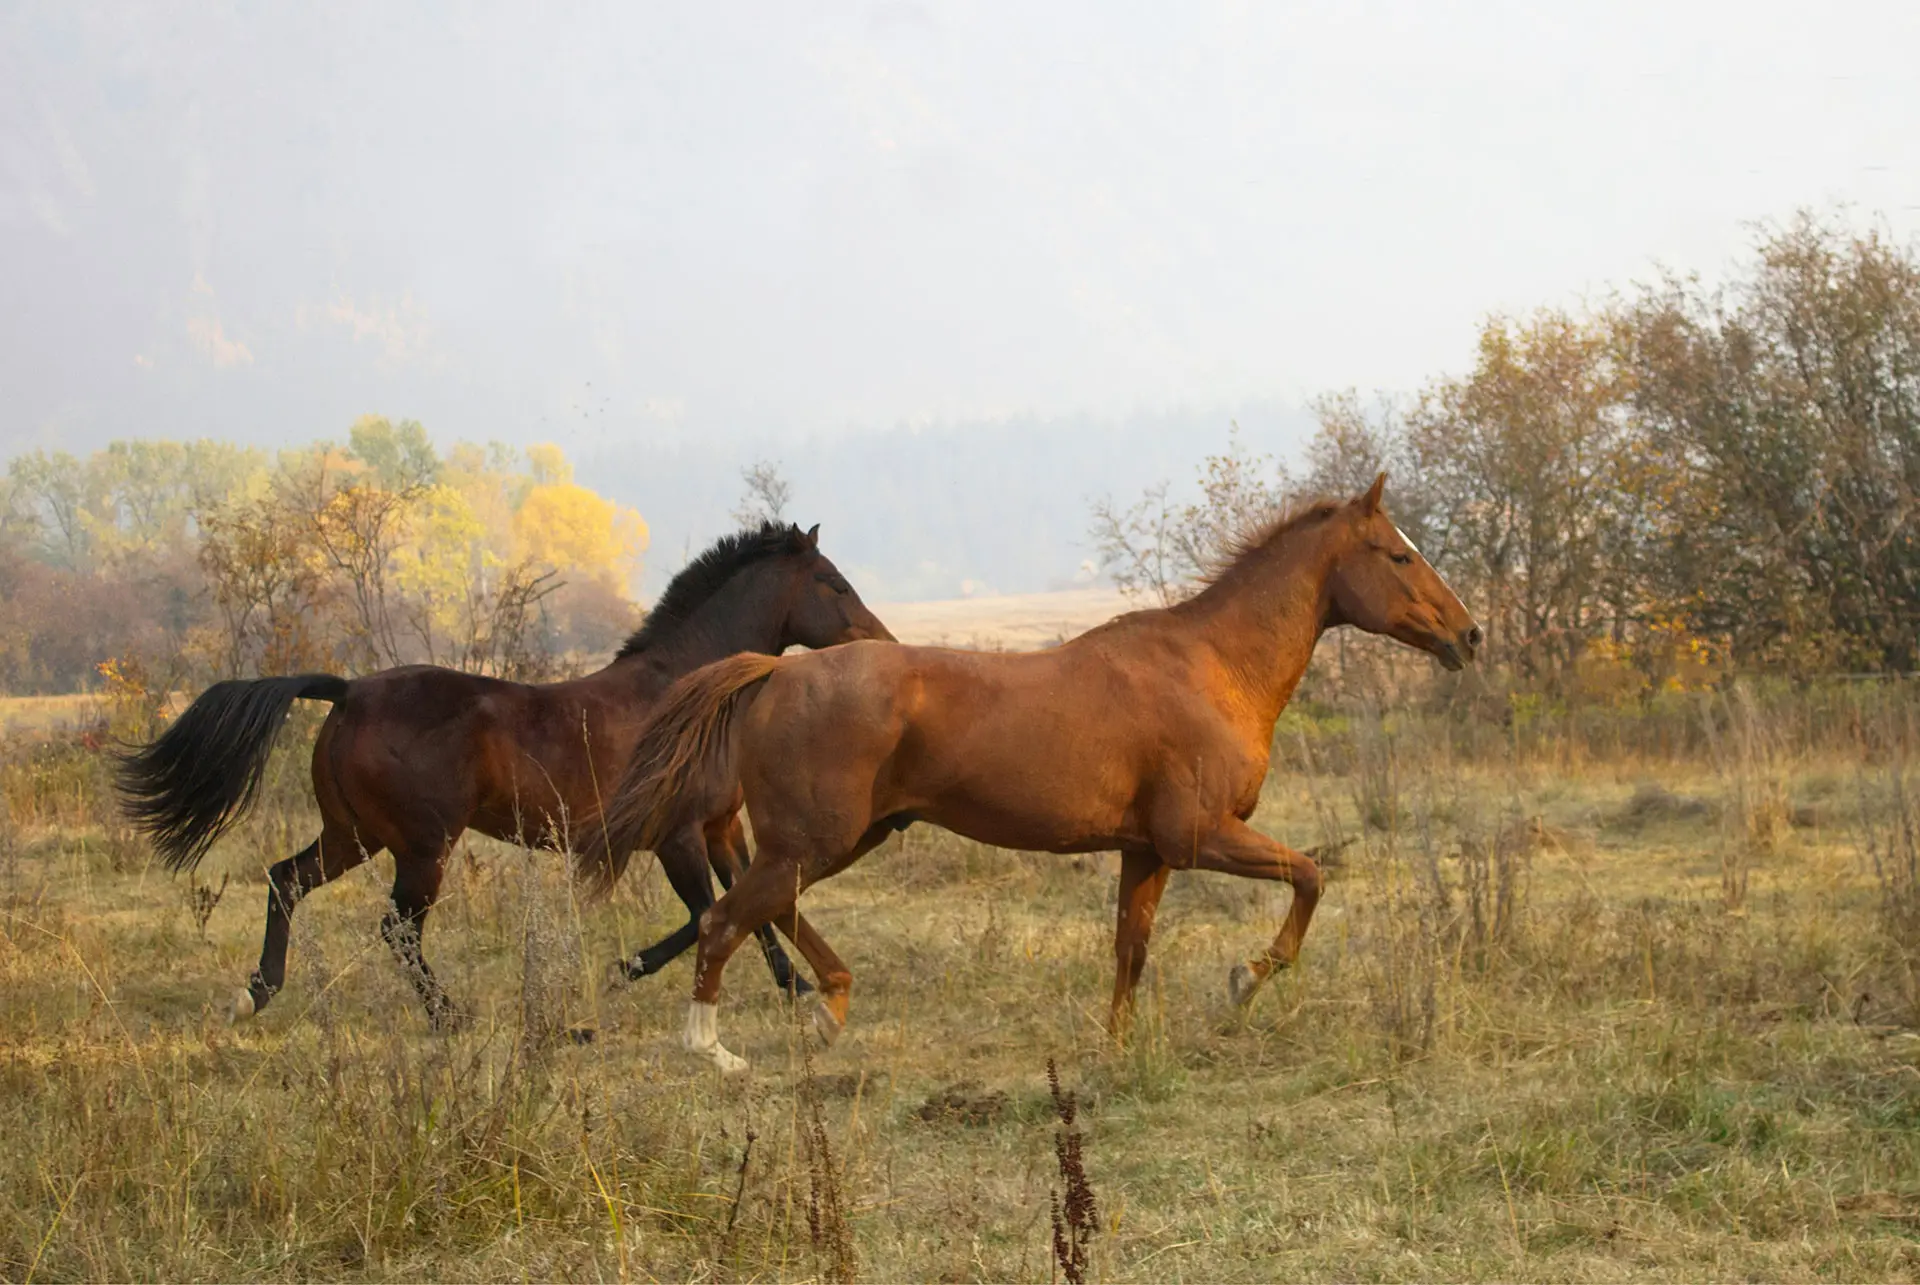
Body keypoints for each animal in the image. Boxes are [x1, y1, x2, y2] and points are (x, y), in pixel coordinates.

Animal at [115, 521, 893, 1026]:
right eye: (834, 583)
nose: (884, 644)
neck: (691, 689)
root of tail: (349, 691)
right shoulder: (674, 838)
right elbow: (707, 915)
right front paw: (619, 972)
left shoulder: (721, 829)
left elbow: (755, 910)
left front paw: (795, 989)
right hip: (422, 847)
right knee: (396, 928)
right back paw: (448, 1015)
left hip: (353, 835)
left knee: (286, 880)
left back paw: (257, 991)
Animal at [585, 475, 1479, 1072]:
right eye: (1399, 556)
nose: (1468, 636)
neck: (1212, 666)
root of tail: (775, 670)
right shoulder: (1199, 837)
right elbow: (1312, 877)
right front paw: (1242, 979)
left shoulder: (1145, 851)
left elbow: (1130, 949)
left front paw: (1116, 1048)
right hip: (810, 843)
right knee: (724, 919)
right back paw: (716, 1050)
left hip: (836, 841)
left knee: (766, 911)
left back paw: (829, 1008)